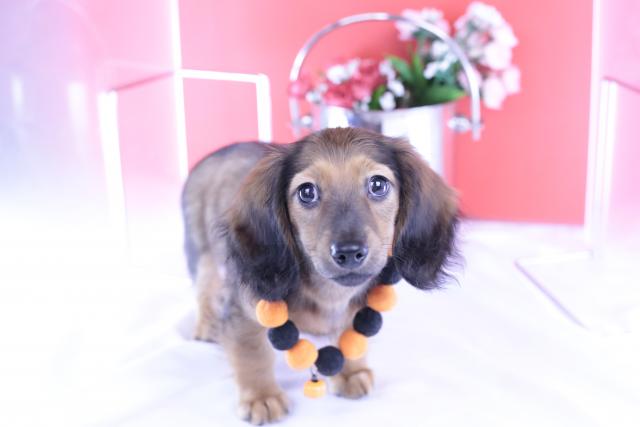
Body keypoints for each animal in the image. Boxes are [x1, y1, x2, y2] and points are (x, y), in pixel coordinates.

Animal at [181, 127, 458, 424]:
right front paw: (261, 396)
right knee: (205, 287)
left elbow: (349, 333)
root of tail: (222, 150)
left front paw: (351, 371)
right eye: (307, 192)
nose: (349, 252)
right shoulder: (245, 311)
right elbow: (252, 352)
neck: (326, 292)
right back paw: (207, 325)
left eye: (378, 185)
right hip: (203, 250)